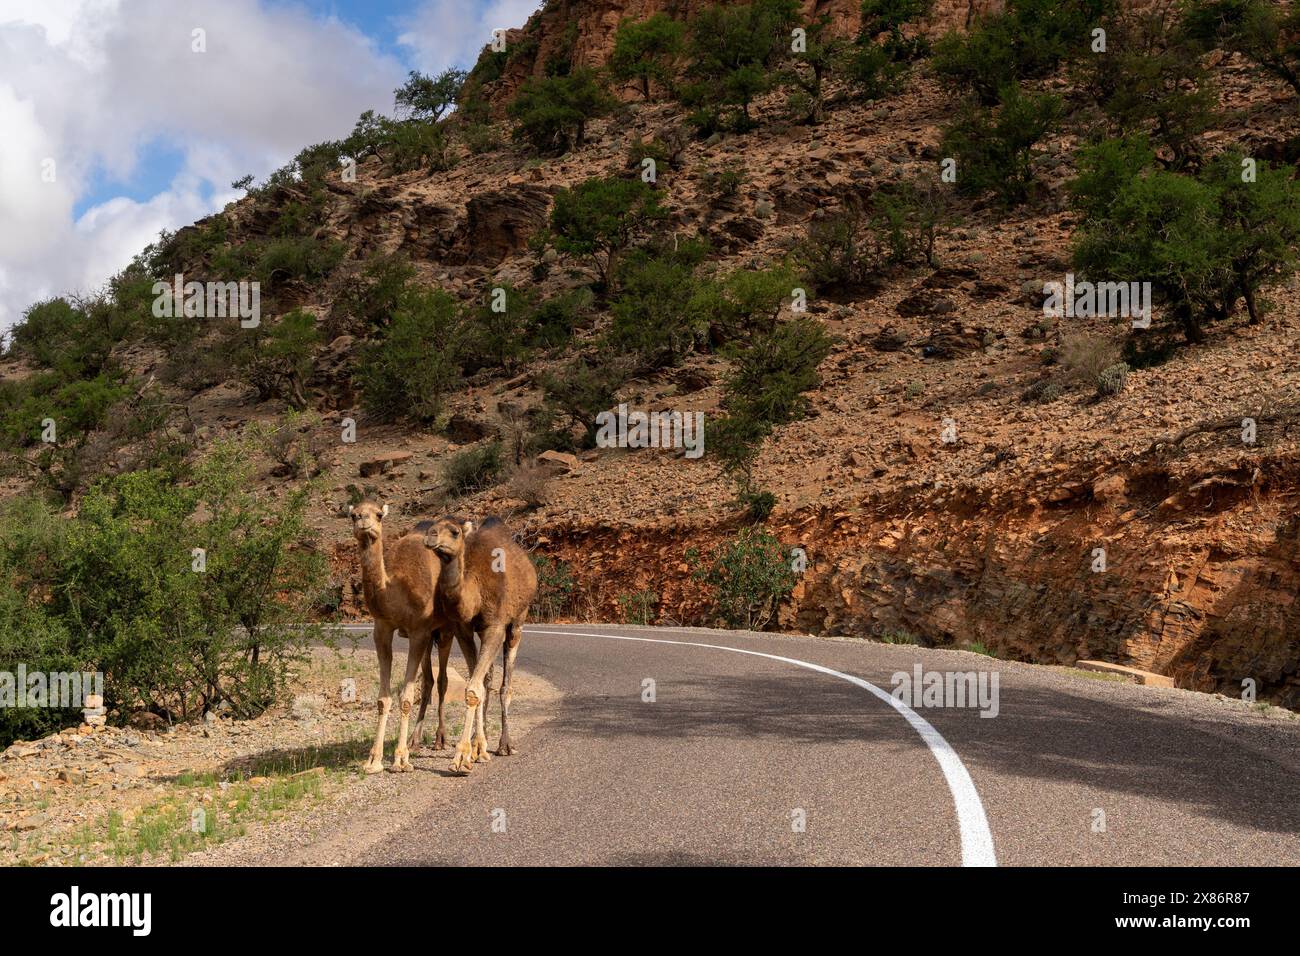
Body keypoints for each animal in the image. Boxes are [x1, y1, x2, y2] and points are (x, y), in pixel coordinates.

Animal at [351, 504, 478, 775]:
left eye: (378, 514)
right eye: (353, 514)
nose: (364, 522)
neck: (393, 590)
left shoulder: (419, 630)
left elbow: (407, 697)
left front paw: (400, 760)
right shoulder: (383, 628)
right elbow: (383, 698)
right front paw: (373, 760)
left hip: (444, 631)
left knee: (441, 680)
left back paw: (440, 739)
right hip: (429, 638)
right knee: (429, 680)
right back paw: (415, 739)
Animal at [426, 520, 538, 775]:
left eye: (454, 531)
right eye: (433, 524)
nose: (430, 535)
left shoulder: (495, 626)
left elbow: (474, 688)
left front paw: (461, 758)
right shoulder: (463, 629)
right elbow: (476, 685)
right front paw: (476, 749)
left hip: (518, 621)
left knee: (505, 685)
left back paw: (505, 745)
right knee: (488, 679)